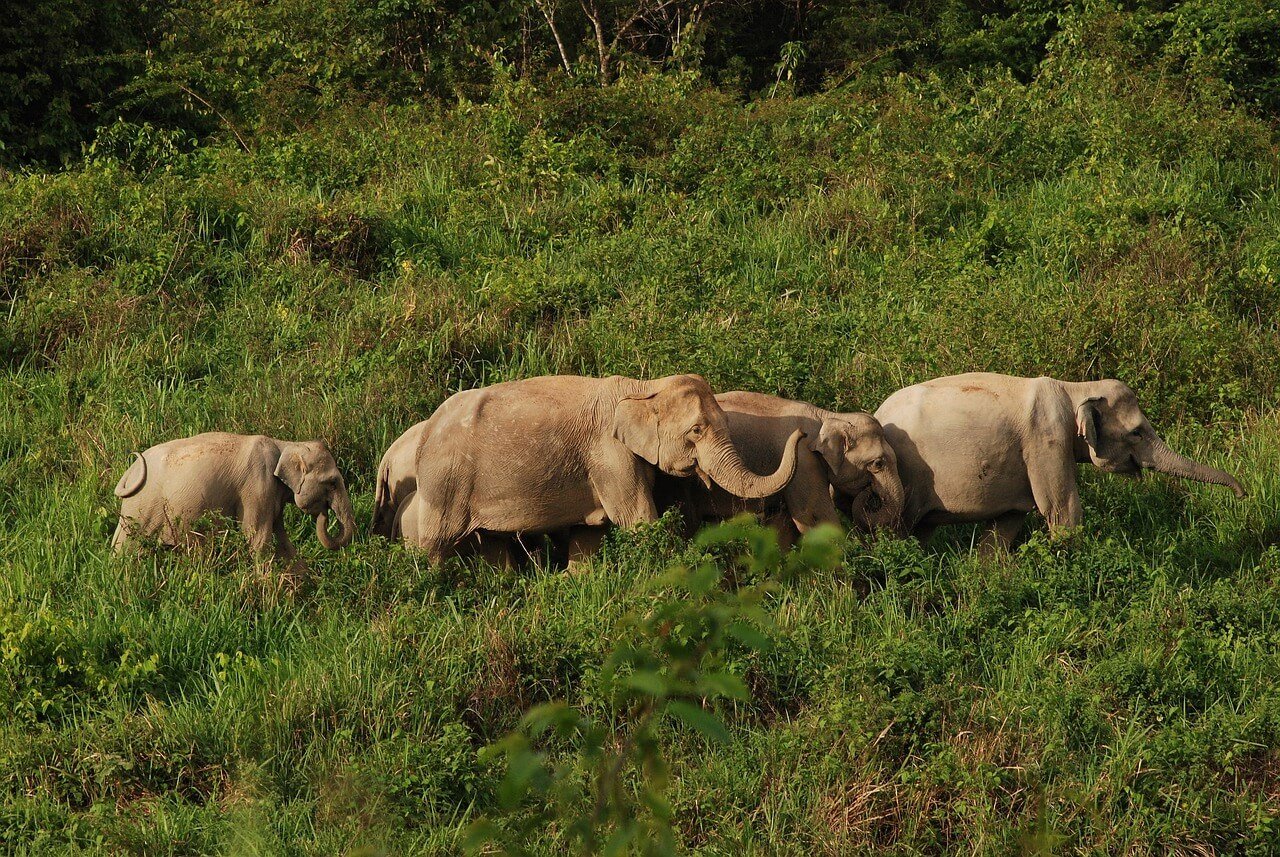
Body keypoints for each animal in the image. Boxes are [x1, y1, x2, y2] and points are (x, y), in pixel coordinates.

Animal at [409, 373, 798, 562]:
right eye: (697, 431)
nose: (801, 433)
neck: (644, 386)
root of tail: (425, 430)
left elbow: (590, 533)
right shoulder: (609, 455)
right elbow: (637, 520)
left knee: (492, 544)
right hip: (445, 481)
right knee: (434, 544)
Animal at [665, 388, 906, 544]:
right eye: (878, 463)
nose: (869, 493)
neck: (828, 416)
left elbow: (781, 524)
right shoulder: (803, 463)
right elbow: (814, 517)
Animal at [875, 373, 1244, 550]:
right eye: (1137, 433)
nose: (1242, 494)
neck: (1075, 388)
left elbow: (1007, 523)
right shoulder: (1046, 440)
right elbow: (1062, 512)